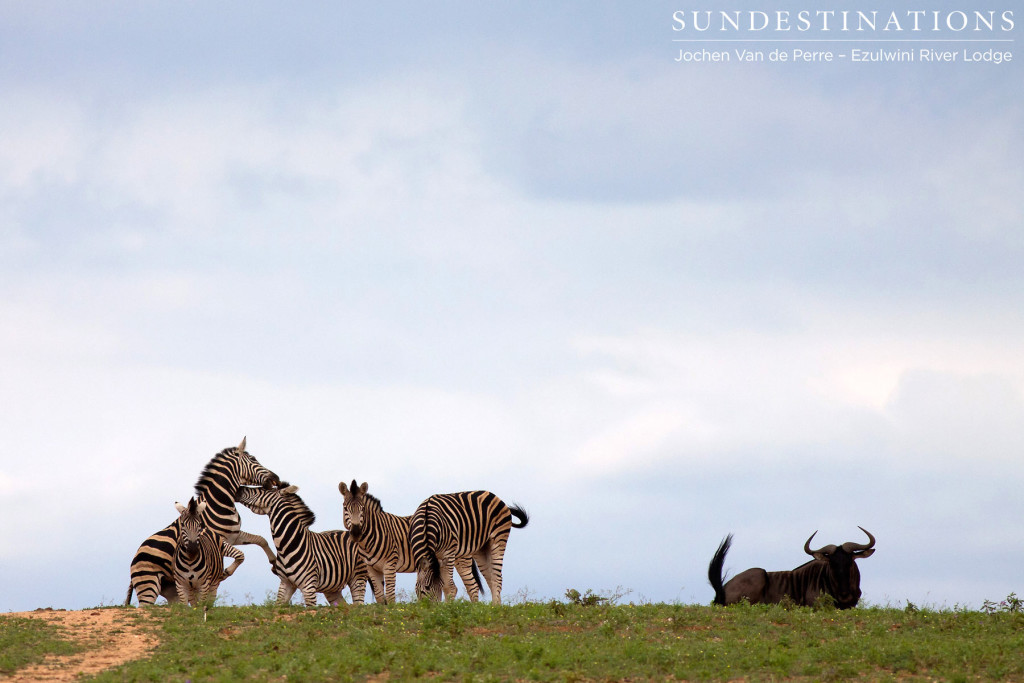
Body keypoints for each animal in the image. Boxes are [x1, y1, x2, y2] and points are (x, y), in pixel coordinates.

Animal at [125, 438, 282, 602]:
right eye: (253, 459)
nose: (276, 478)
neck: (219, 503)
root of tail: (135, 558)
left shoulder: (234, 536)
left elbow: (261, 539)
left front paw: (274, 562)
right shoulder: (220, 540)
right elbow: (240, 555)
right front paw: (225, 573)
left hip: (170, 589)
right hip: (149, 586)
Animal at [236, 483, 372, 606]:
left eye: (264, 489)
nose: (239, 488)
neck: (287, 545)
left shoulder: (309, 587)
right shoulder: (285, 583)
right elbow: (278, 607)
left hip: (358, 577)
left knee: (358, 605)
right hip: (332, 588)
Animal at [335, 481, 479, 602]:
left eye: (362, 508)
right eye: (345, 508)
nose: (356, 533)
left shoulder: (390, 564)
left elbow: (390, 595)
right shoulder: (371, 568)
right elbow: (380, 597)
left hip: (460, 558)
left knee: (466, 587)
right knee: (470, 586)